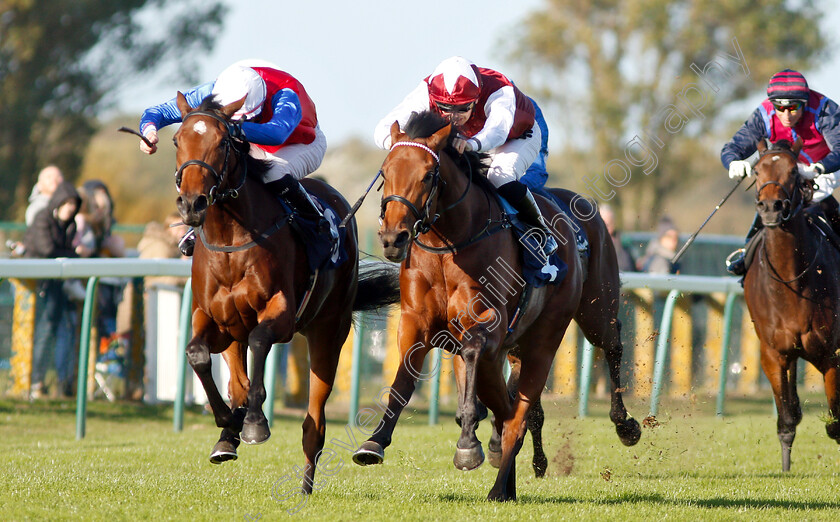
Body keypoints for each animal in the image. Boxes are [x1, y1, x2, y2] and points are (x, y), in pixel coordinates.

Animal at [171, 92, 400, 492]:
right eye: (176, 140)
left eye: (223, 142)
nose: (191, 203)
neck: (231, 240)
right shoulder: (211, 318)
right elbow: (197, 354)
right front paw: (229, 421)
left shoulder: (281, 313)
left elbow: (261, 341)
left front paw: (255, 423)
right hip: (234, 332)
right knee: (238, 379)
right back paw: (228, 436)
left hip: (328, 331)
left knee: (314, 423)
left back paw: (305, 484)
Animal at [352, 111, 640, 502]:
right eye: (385, 171)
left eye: (428, 175)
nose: (394, 237)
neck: (447, 244)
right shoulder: (417, 322)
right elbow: (404, 378)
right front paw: (375, 441)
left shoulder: (487, 320)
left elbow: (475, 359)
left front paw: (468, 445)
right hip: (517, 344)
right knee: (512, 408)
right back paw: (509, 472)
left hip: (579, 319)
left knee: (606, 349)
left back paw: (622, 425)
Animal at [740, 137, 840, 468]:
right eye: (757, 170)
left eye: (794, 172)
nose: (771, 207)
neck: (791, 284)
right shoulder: (773, 355)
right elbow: (787, 418)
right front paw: (785, 467)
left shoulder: (830, 354)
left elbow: (835, 422)